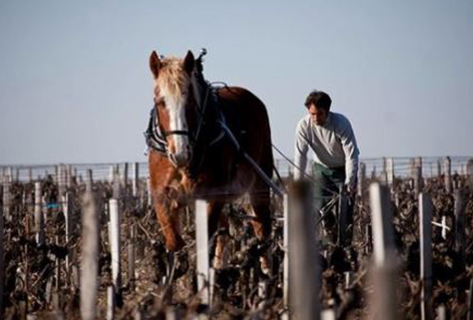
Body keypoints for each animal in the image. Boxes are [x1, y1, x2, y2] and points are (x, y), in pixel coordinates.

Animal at [147, 49, 272, 272]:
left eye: (189, 101)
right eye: (160, 101)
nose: (179, 153)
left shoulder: (213, 195)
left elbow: (204, 239)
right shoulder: (162, 195)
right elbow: (174, 241)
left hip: (259, 180)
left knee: (261, 226)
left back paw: (267, 272)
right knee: (224, 230)